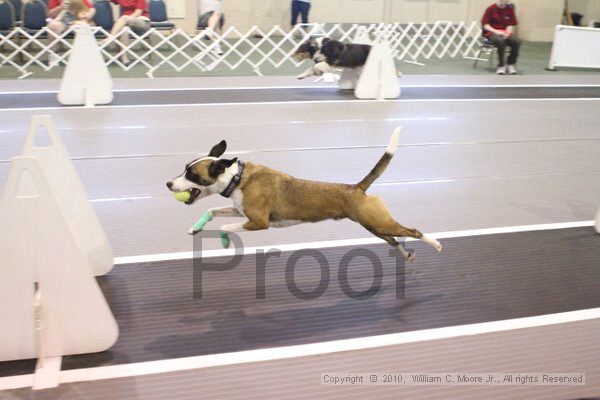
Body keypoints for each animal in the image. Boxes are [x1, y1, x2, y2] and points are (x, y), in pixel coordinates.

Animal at [164, 126, 440, 260]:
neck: (236, 177)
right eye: (184, 168)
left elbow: (225, 227)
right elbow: (212, 210)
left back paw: (435, 244)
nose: (168, 184)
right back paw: (407, 255)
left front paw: (223, 241)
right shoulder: (239, 210)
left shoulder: (258, 222)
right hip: (374, 226)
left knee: (412, 231)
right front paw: (196, 228)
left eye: (192, 174)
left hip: (379, 222)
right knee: (395, 240)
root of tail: (357, 187)